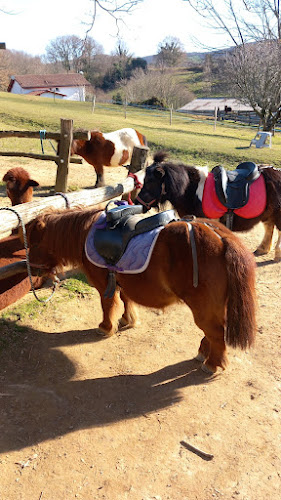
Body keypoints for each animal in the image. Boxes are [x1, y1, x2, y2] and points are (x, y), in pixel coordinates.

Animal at [25, 205, 256, 374]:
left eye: (33, 244)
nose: (33, 271)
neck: (86, 234)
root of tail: (221, 237)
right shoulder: (124, 279)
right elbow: (126, 300)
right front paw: (127, 320)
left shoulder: (103, 284)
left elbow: (108, 305)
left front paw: (106, 327)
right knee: (212, 331)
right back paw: (203, 353)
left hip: (203, 307)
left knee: (216, 332)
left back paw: (212, 364)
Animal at [135, 151, 280, 262]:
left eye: (149, 181)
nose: (137, 202)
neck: (191, 190)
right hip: (268, 214)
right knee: (269, 227)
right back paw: (262, 249)